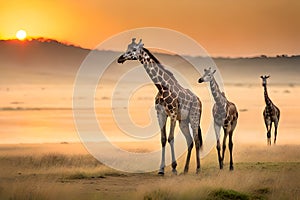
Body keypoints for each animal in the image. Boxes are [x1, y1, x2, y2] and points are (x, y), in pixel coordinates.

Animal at [117, 38, 204, 174]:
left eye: (134, 49)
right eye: (127, 48)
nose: (120, 58)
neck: (162, 88)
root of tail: (199, 100)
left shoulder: (172, 114)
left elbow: (170, 138)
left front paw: (174, 167)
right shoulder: (161, 114)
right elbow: (163, 139)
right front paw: (161, 169)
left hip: (194, 117)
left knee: (196, 140)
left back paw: (198, 169)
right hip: (183, 121)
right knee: (189, 141)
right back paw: (185, 169)